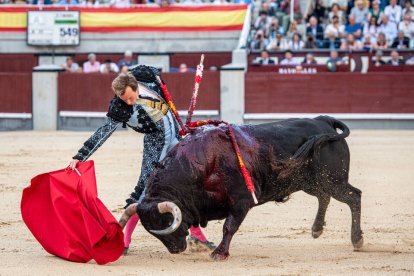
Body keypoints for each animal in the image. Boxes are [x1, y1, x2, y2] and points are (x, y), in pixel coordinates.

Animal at [119, 115, 362, 260]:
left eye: (165, 222)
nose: (176, 250)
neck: (203, 163)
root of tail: (323, 120)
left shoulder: (241, 201)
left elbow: (229, 227)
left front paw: (219, 253)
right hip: (311, 181)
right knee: (324, 197)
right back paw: (317, 229)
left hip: (333, 180)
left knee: (354, 196)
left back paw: (357, 240)